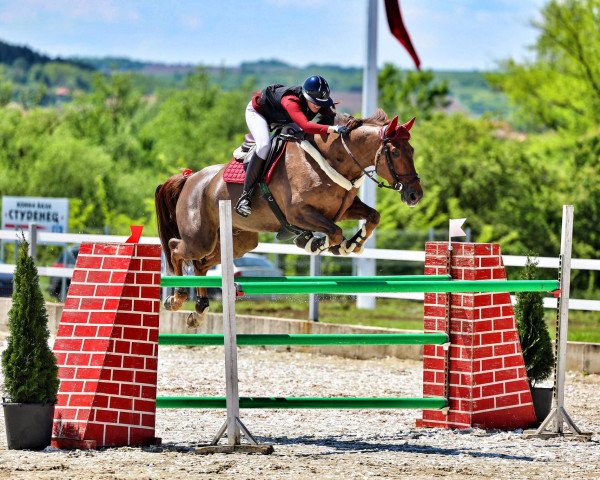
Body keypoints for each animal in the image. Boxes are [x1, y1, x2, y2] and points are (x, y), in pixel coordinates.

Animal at [157, 109, 424, 326]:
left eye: (412, 150)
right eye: (396, 152)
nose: (415, 195)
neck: (334, 160)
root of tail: (190, 178)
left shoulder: (344, 208)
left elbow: (372, 216)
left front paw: (352, 244)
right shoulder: (298, 212)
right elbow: (334, 231)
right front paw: (316, 243)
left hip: (239, 241)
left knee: (201, 264)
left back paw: (199, 311)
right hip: (200, 237)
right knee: (175, 248)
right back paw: (177, 297)